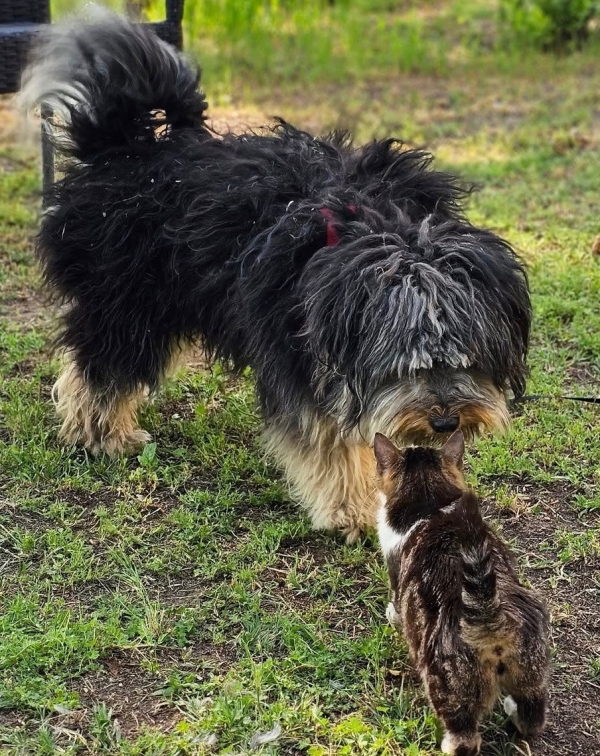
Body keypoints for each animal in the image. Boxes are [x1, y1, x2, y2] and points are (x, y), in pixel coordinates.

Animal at [21, 13, 531, 542]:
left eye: (471, 357)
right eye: (407, 363)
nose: (446, 422)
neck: (367, 230)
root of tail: (119, 151)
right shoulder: (297, 352)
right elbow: (326, 439)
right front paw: (354, 511)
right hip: (128, 299)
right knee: (101, 364)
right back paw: (102, 434)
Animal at [374, 431, 550, 756]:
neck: (429, 503)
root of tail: (488, 612)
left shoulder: (395, 574)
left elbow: (395, 605)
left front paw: (391, 614)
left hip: (447, 684)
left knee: (464, 739)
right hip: (533, 670)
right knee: (533, 717)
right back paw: (512, 709)